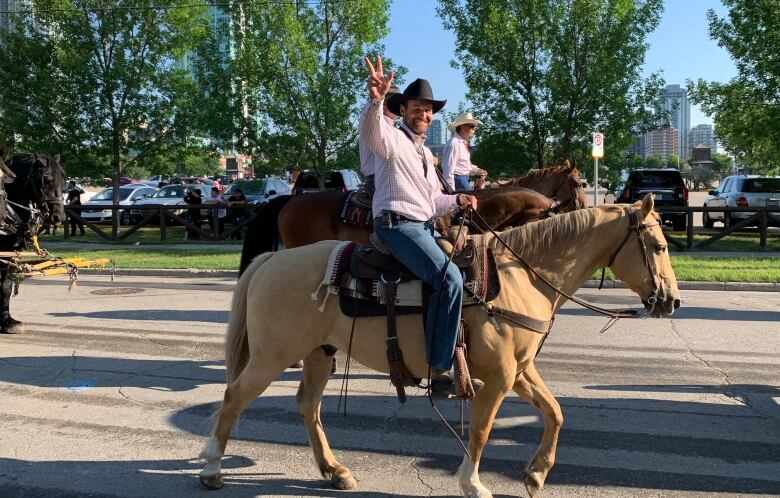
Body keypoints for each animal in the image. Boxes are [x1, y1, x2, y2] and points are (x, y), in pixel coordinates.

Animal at [0, 154, 66, 332]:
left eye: (64, 181)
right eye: (47, 180)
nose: (59, 217)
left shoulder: (10, 254)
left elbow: (6, 286)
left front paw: (8, 321)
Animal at [201, 195, 684, 494]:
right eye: (659, 246)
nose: (672, 301)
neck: (521, 276)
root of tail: (271, 260)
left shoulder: (520, 371)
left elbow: (555, 412)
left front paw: (536, 473)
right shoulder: (499, 377)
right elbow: (482, 429)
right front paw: (473, 483)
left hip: (318, 354)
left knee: (308, 406)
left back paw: (334, 471)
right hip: (271, 356)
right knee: (234, 397)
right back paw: (211, 468)